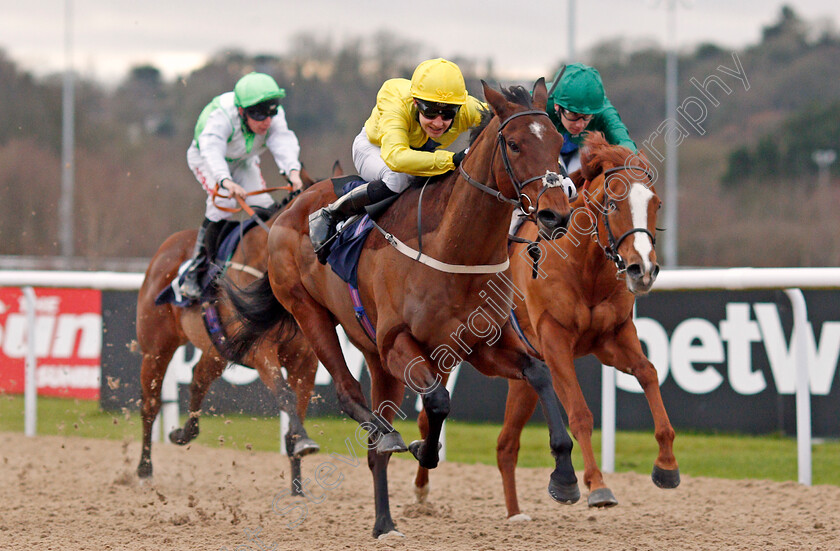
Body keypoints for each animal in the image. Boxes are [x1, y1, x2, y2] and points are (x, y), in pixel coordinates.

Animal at [220, 78, 580, 540]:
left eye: (555, 141)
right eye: (514, 144)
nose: (556, 214)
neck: (455, 249)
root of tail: (293, 205)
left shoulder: (483, 345)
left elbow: (539, 373)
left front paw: (565, 477)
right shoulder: (398, 342)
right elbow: (439, 402)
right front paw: (423, 450)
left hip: (374, 356)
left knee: (376, 442)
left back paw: (384, 522)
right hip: (310, 314)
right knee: (348, 393)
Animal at [492, 133, 684, 516]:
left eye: (656, 204)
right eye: (611, 205)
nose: (643, 270)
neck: (585, 267)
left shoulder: (612, 337)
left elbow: (648, 372)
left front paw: (666, 464)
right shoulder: (554, 339)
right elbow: (580, 413)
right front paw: (597, 485)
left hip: (521, 374)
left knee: (506, 446)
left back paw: (515, 515)